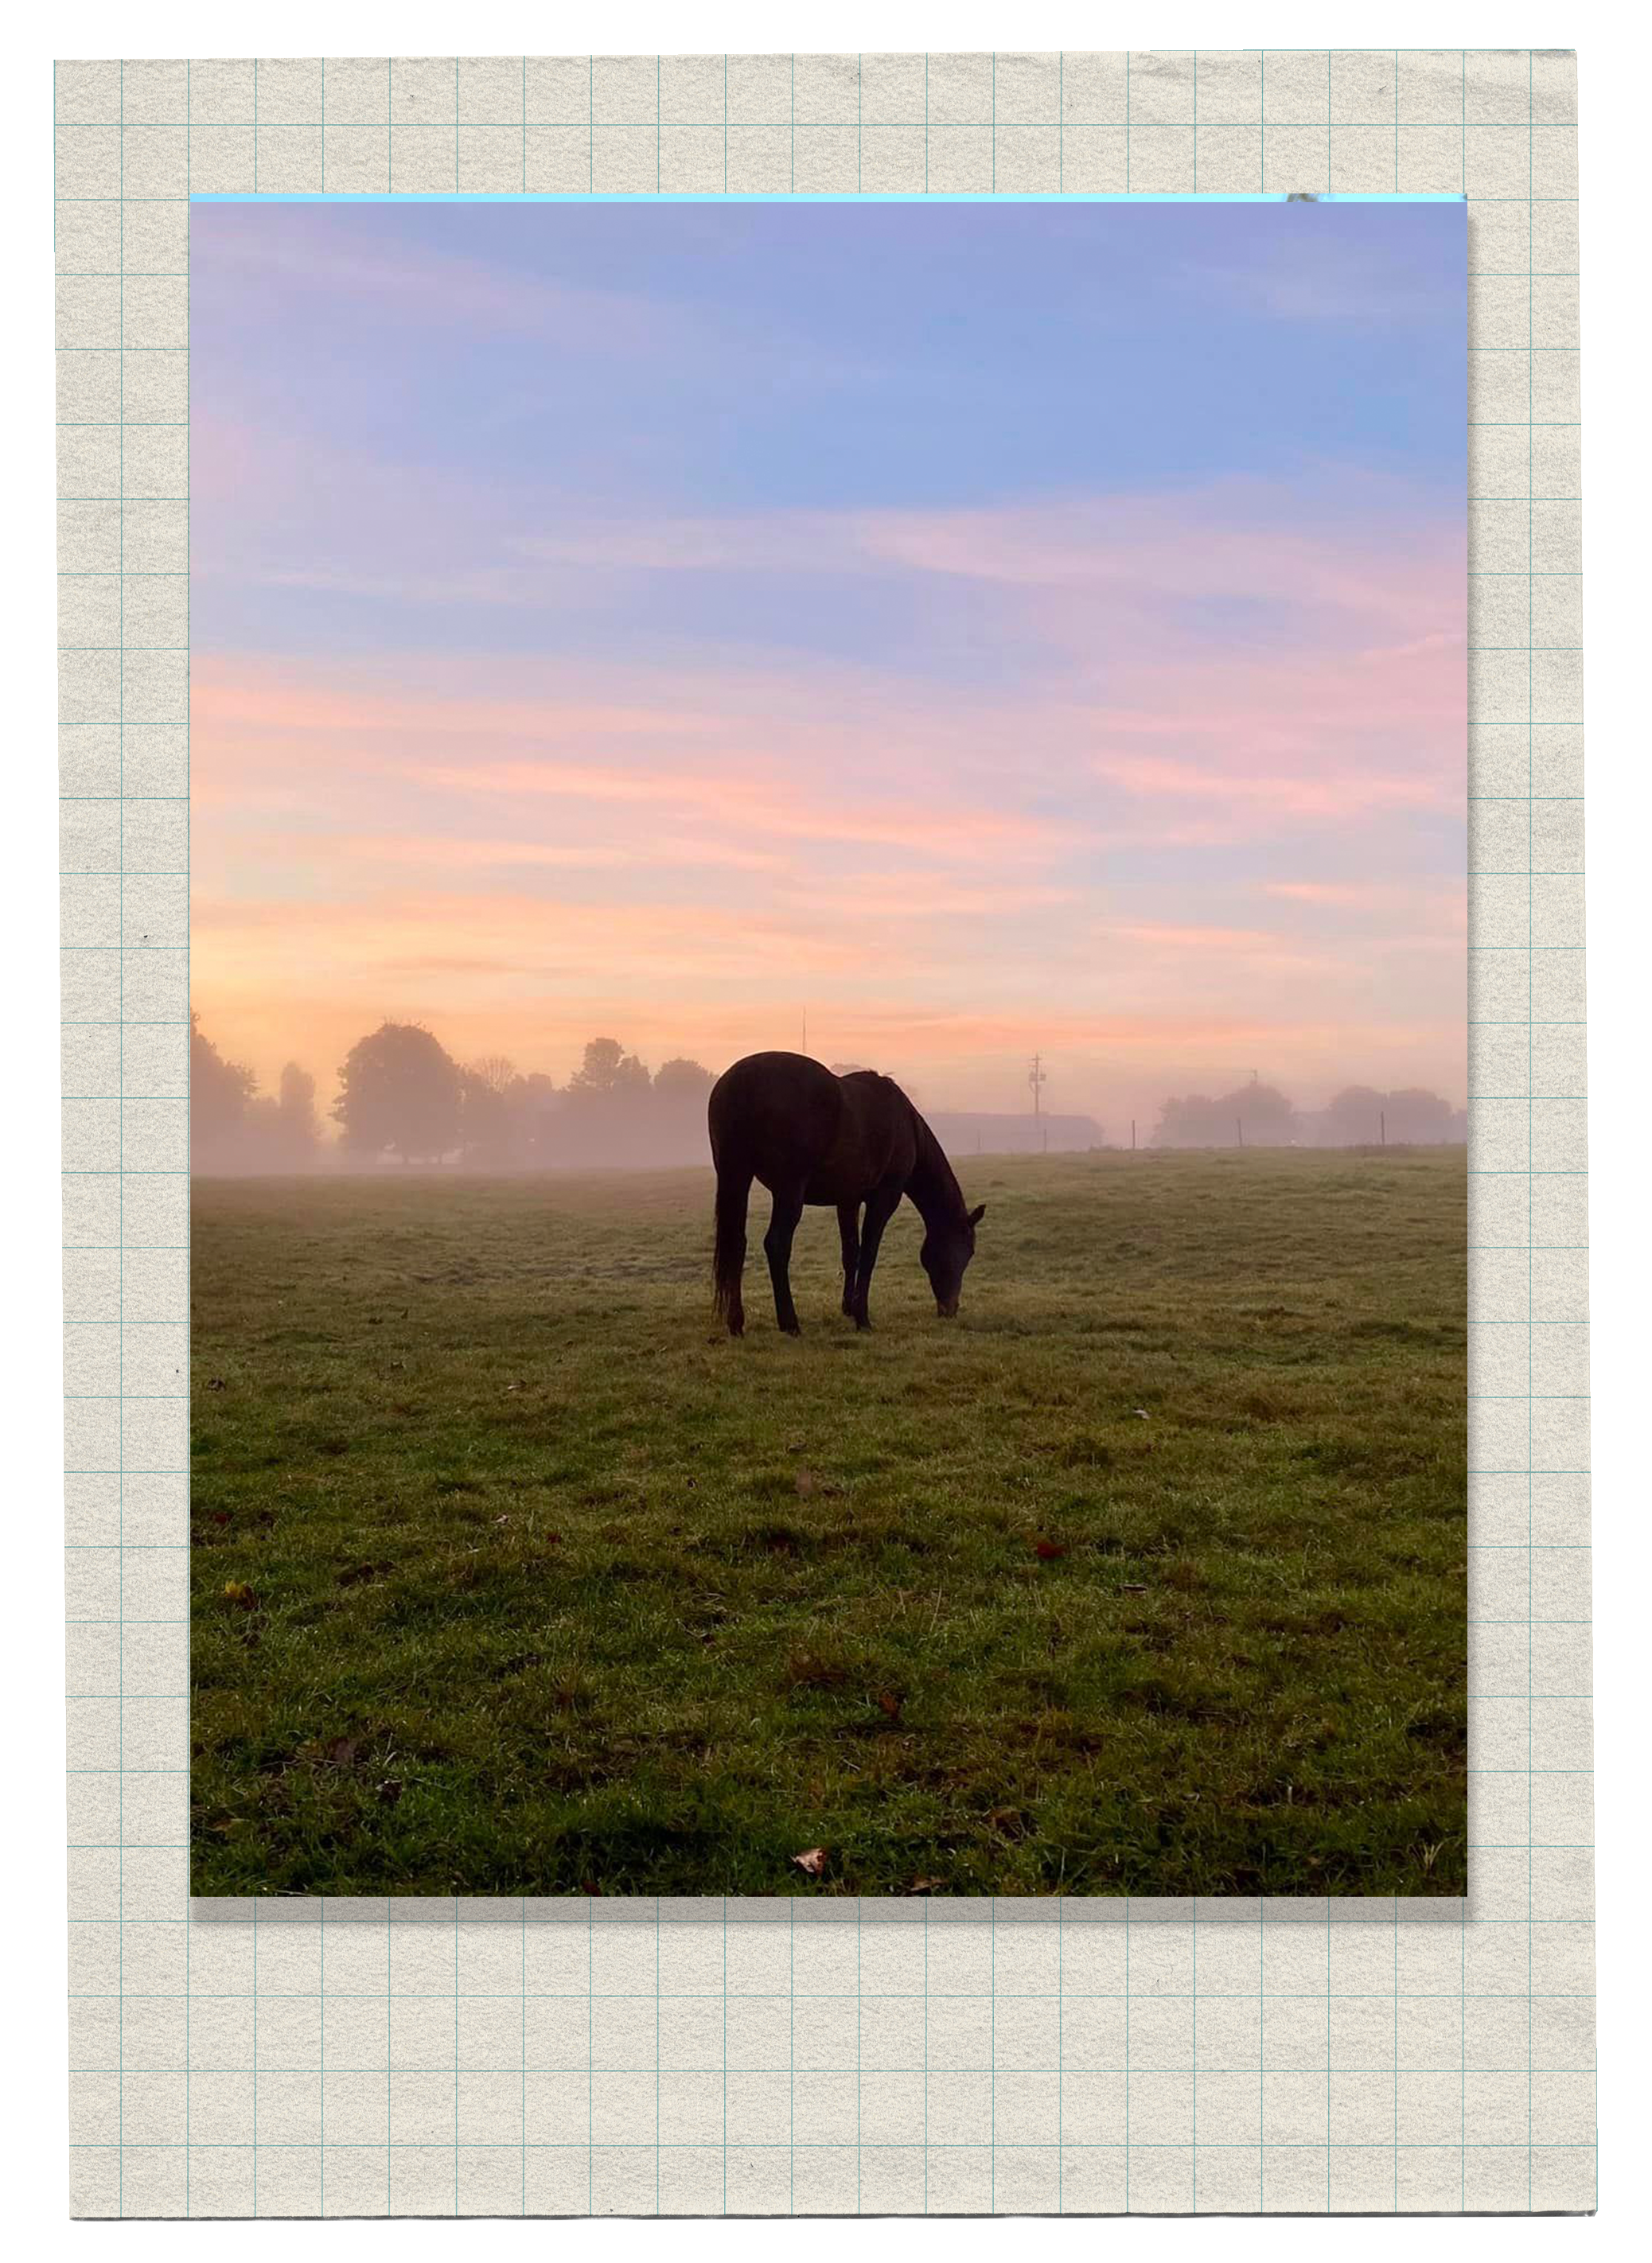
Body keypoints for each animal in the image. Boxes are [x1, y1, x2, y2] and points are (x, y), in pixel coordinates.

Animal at [706, 1051, 985, 1336]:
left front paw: (848, 1308)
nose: (950, 1309)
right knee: (777, 1244)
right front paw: (862, 1317)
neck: (905, 1124)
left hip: (736, 1177)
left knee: (737, 1244)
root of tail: (743, 1081)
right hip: (789, 1190)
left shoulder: (847, 1200)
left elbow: (851, 1253)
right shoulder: (885, 1198)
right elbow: (869, 1254)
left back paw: (736, 1323)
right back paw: (790, 1323)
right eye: (968, 1251)